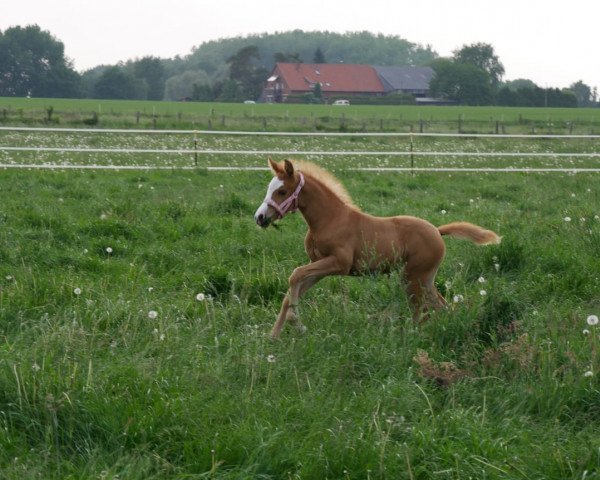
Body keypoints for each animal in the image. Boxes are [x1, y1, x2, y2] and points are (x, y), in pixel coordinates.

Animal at [254, 158, 502, 338]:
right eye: (268, 188)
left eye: (282, 191)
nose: (260, 217)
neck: (330, 219)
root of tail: (437, 231)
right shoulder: (319, 266)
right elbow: (292, 288)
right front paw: (274, 335)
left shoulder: (339, 264)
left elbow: (295, 275)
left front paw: (297, 324)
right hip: (425, 279)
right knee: (441, 306)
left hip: (413, 277)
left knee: (420, 311)